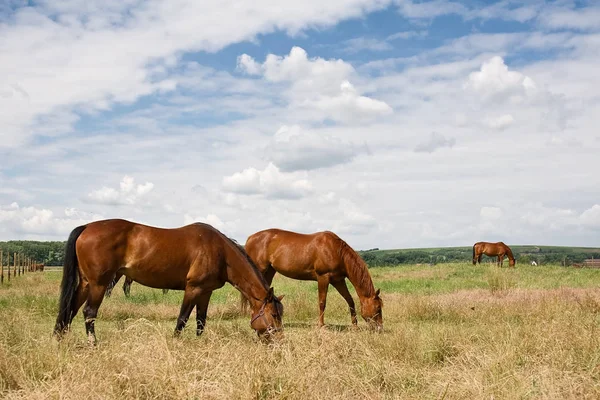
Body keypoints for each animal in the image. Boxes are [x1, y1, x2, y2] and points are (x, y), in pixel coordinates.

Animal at [53, 219, 284, 344]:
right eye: (274, 315)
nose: (280, 341)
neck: (220, 252)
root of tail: (86, 227)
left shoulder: (205, 292)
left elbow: (201, 321)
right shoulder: (193, 289)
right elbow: (182, 319)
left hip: (85, 284)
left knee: (70, 310)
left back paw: (60, 340)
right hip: (98, 284)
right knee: (88, 313)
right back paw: (93, 344)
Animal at [241, 228, 382, 332]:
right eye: (378, 308)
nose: (380, 328)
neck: (336, 250)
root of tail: (250, 238)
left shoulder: (338, 280)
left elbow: (350, 300)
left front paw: (355, 325)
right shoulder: (323, 278)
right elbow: (322, 302)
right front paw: (321, 325)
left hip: (269, 271)